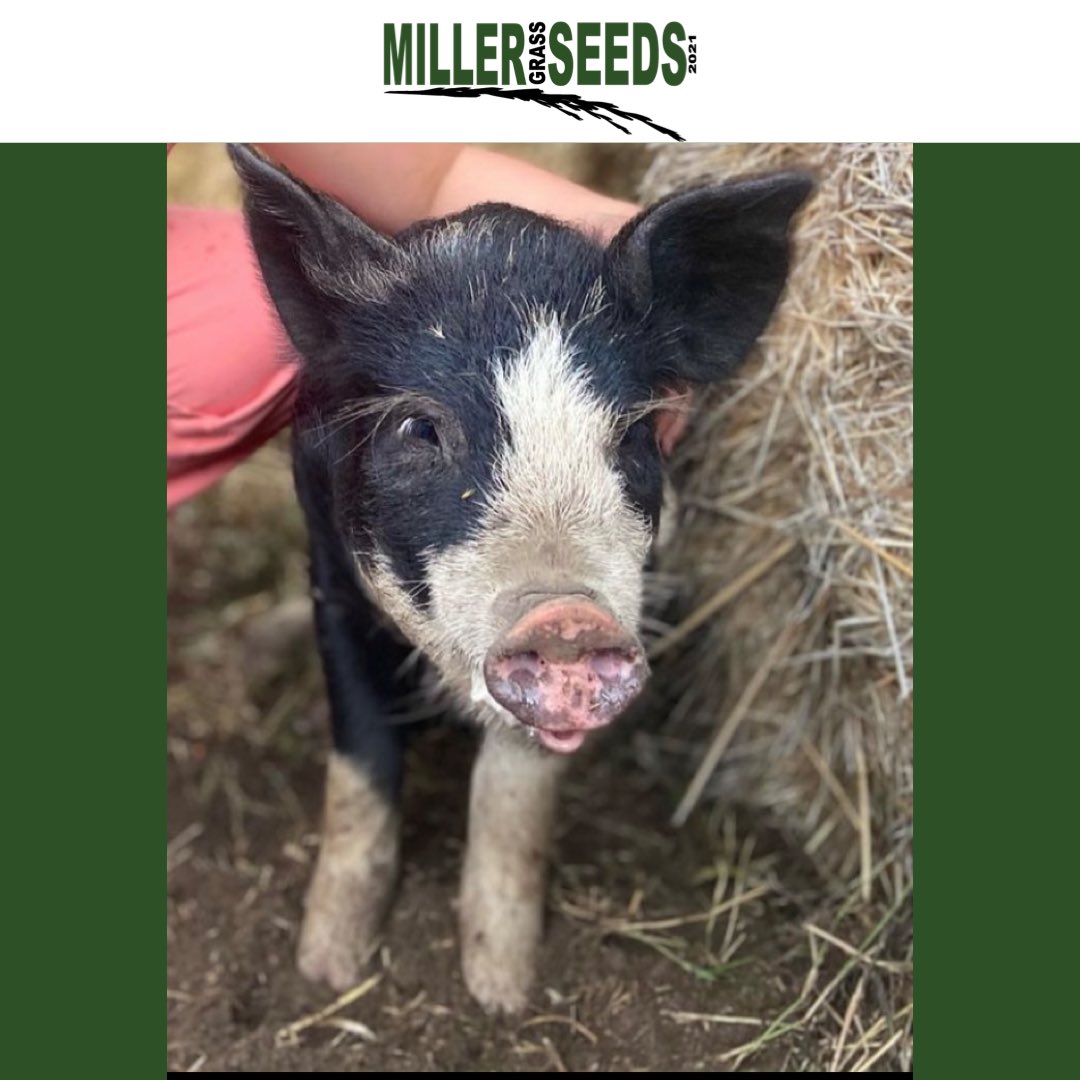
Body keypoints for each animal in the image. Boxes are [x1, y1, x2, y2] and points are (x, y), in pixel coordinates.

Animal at [227, 144, 811, 1014]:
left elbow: (514, 792)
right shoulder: (331, 574)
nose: (567, 619)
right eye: (419, 428)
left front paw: (501, 991)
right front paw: (327, 963)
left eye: (632, 433)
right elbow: (361, 762)